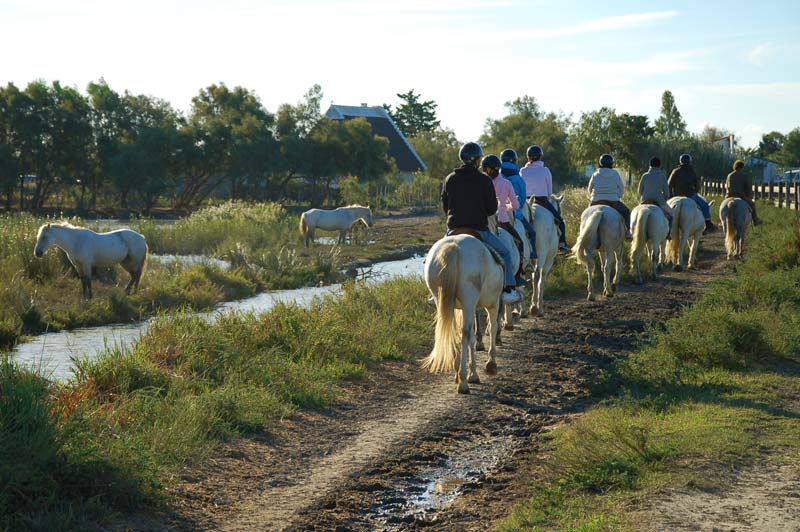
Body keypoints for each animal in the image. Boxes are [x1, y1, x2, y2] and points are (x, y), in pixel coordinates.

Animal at [422, 235, 504, 392]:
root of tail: (453, 247)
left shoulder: (461, 308)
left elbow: (471, 336)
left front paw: (473, 372)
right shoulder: (493, 304)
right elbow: (492, 328)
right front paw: (490, 364)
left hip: (440, 299)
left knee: (456, 332)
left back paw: (458, 373)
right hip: (469, 299)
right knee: (465, 333)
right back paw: (463, 382)